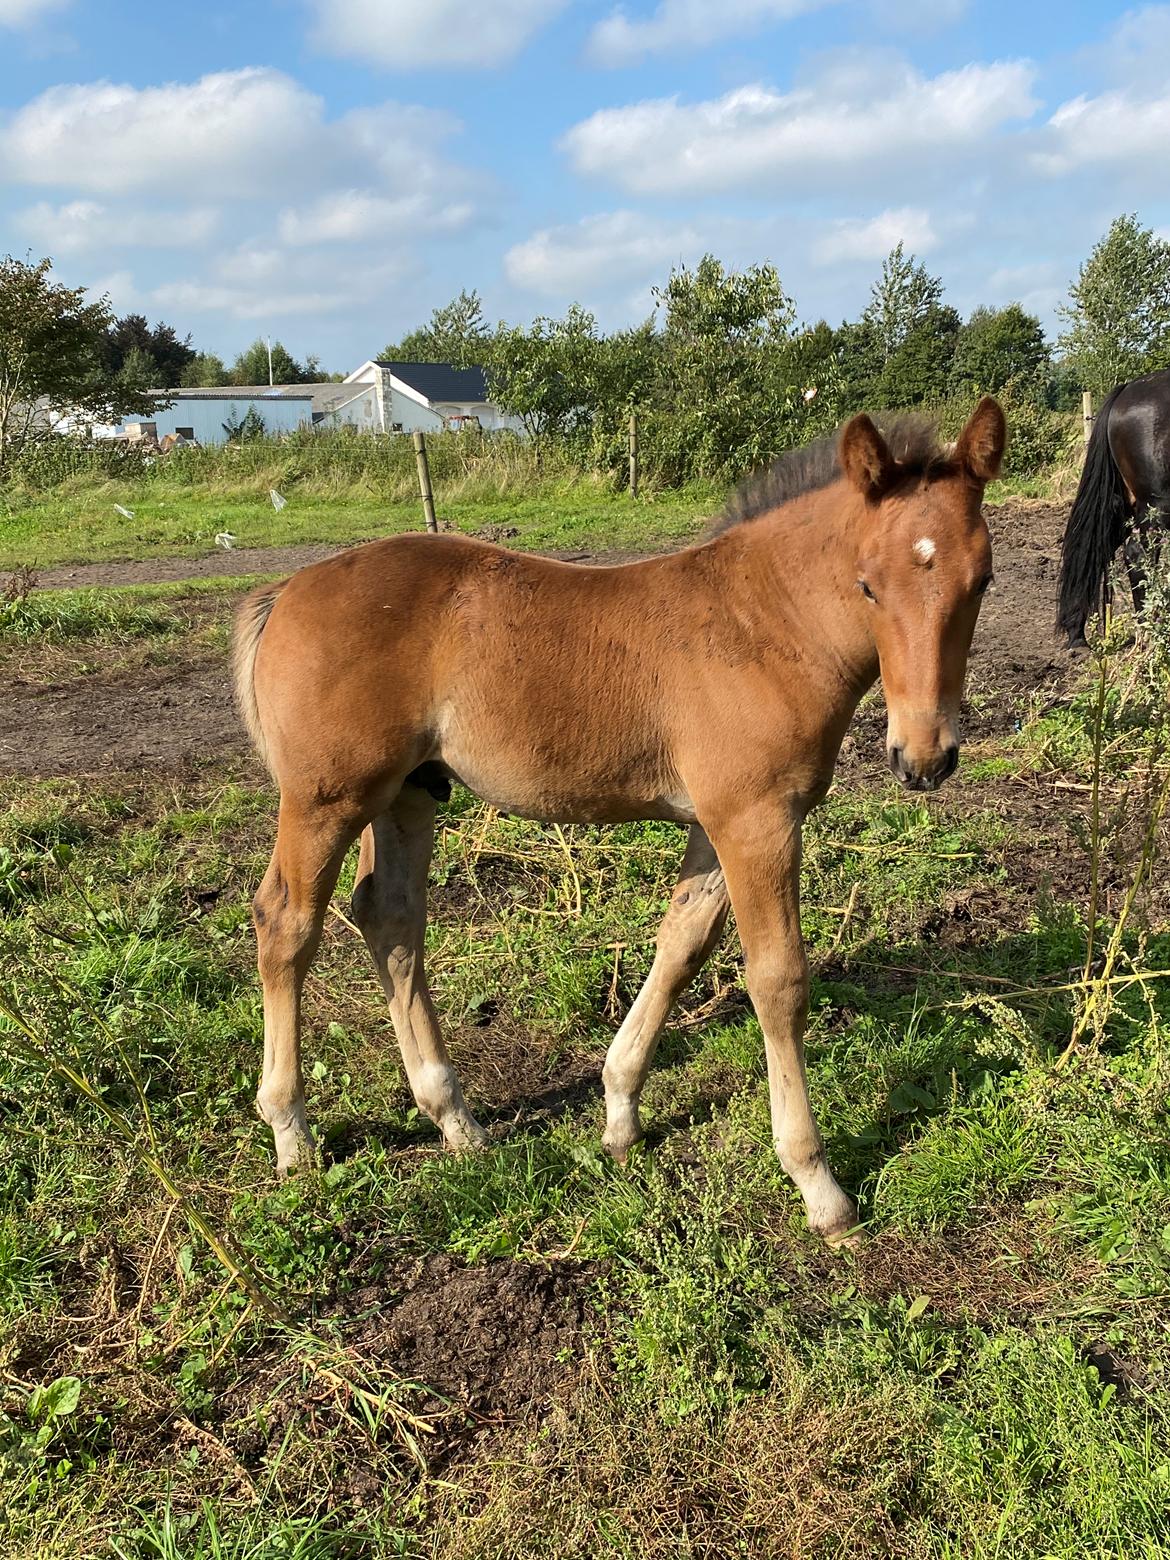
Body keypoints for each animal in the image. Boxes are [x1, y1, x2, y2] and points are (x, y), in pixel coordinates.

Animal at [233, 399, 1004, 1241]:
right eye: (867, 585)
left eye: (984, 580)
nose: (923, 757)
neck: (764, 622)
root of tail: (284, 592)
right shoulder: (757, 820)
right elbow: (778, 982)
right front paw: (818, 1184)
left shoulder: (718, 821)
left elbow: (682, 945)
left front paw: (620, 1113)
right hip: (327, 799)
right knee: (286, 923)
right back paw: (291, 1132)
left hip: (409, 793)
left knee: (391, 918)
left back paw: (456, 1120)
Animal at [1060, 366, 1170, 645]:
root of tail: (1127, 390)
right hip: (1156, 506)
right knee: (1138, 557)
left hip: (1124, 506)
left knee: (1094, 550)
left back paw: (1076, 634)